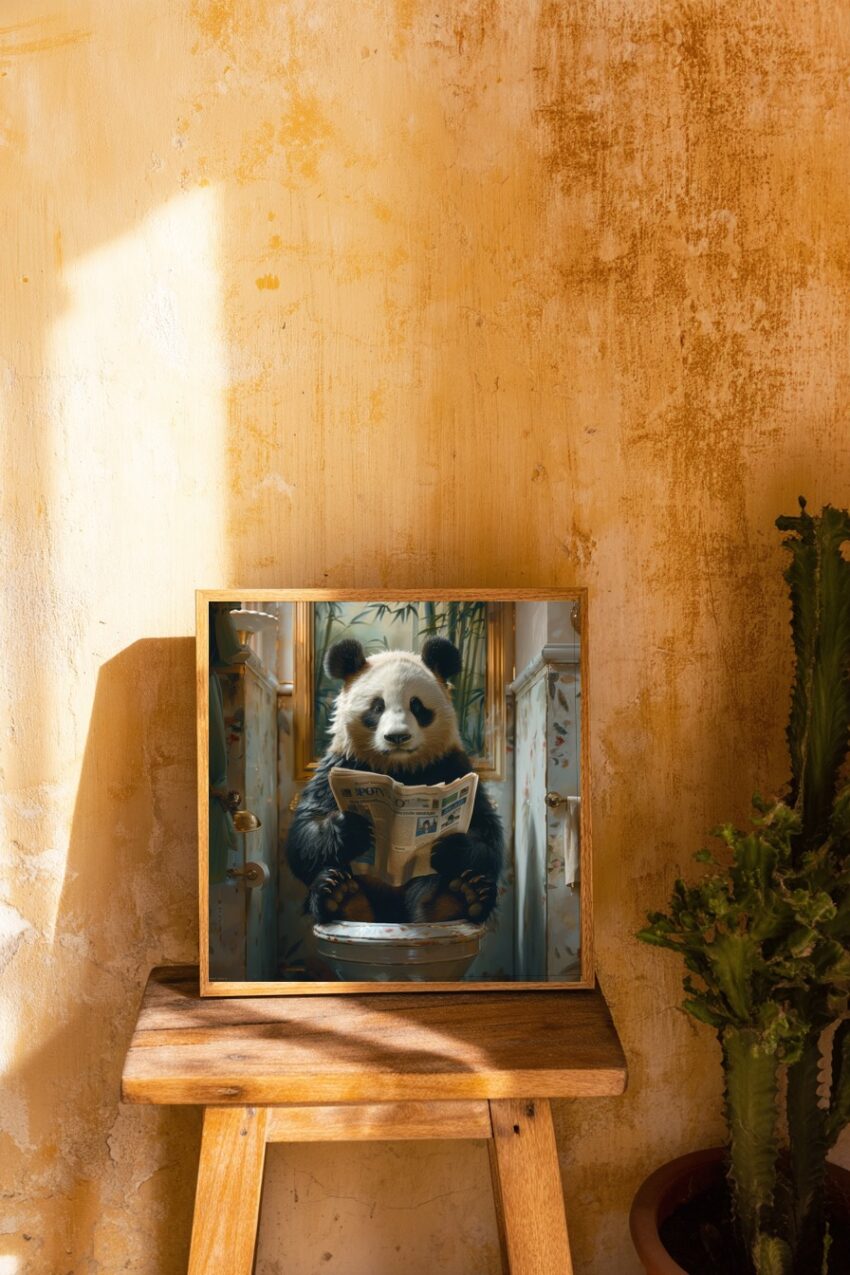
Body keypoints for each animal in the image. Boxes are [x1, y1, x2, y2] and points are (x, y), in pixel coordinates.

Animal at [287, 635, 503, 925]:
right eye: (377, 707)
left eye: (417, 706)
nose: (397, 736)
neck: (399, 768)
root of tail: (391, 915)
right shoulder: (343, 765)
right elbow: (304, 836)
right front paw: (352, 826)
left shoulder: (451, 767)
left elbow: (486, 833)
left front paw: (451, 845)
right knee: (334, 877)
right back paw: (341, 897)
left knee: (440, 882)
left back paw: (455, 898)